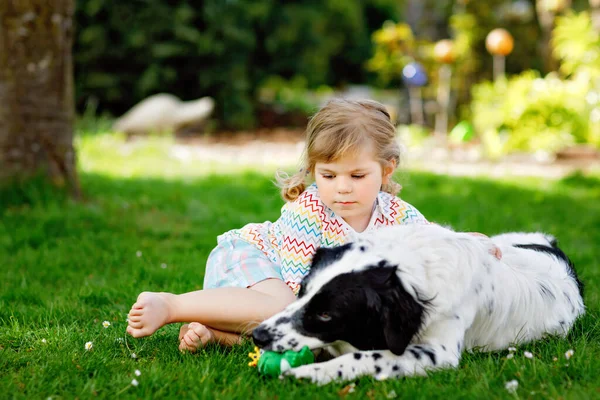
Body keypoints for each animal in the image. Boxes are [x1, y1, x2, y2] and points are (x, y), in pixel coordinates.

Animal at [251, 225, 584, 384]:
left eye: (325, 314)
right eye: (302, 291)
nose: (258, 336)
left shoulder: (440, 353)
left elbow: (366, 357)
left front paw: (312, 373)